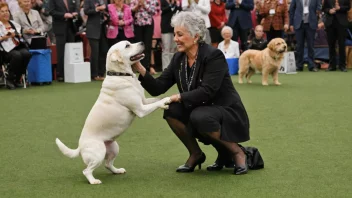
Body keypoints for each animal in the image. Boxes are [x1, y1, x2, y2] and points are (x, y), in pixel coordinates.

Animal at [55, 41, 170, 185]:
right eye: (127, 45)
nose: (142, 42)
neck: (121, 75)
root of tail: (80, 147)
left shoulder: (143, 101)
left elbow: (156, 99)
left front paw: (165, 100)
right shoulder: (140, 109)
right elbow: (156, 103)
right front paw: (167, 101)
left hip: (114, 147)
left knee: (108, 164)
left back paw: (117, 171)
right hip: (98, 153)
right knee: (87, 170)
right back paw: (94, 181)